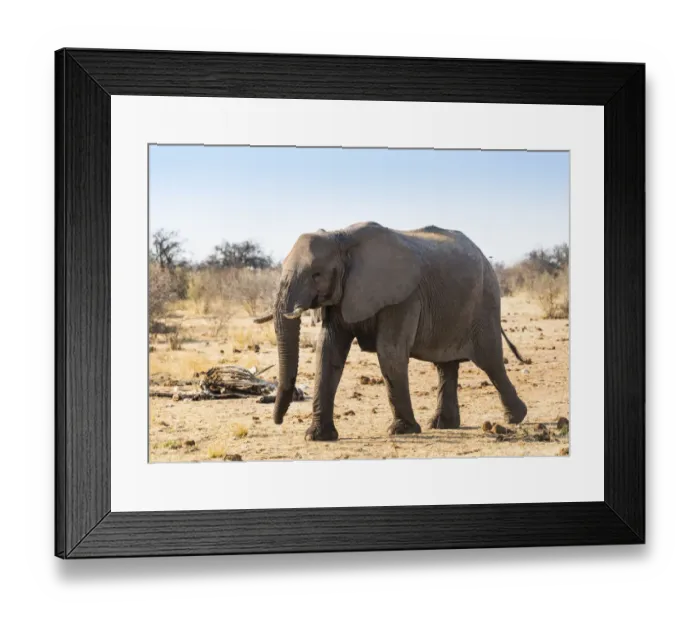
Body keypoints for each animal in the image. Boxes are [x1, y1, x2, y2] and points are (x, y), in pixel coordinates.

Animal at [254, 221, 528, 442]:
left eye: (316, 274)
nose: (278, 420)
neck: (341, 237)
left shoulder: (402, 297)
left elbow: (389, 352)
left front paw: (402, 431)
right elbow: (327, 352)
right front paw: (317, 437)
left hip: (485, 301)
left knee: (490, 361)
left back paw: (516, 417)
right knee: (445, 365)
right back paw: (443, 425)